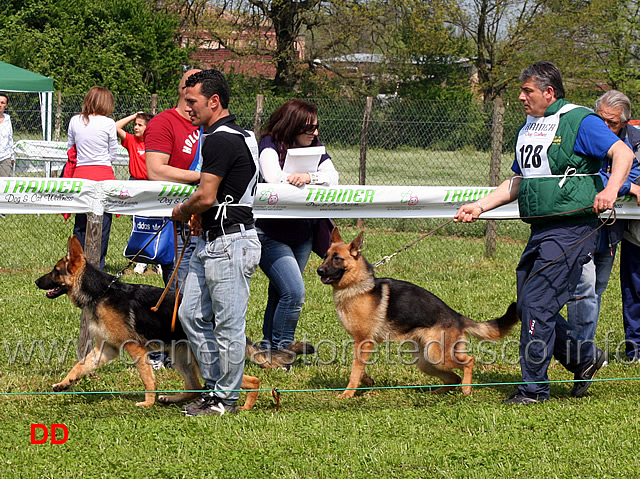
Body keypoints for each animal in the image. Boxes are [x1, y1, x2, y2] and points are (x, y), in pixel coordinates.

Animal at [33, 235, 264, 408]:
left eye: (55, 271)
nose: (35, 281)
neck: (100, 292)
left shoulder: (135, 349)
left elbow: (147, 379)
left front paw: (147, 403)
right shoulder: (105, 349)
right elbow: (79, 366)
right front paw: (64, 383)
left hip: (203, 359)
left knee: (250, 381)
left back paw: (245, 406)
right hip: (183, 359)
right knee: (194, 387)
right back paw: (171, 398)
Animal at [316, 229, 520, 398]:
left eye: (337, 259)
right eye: (325, 256)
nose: (319, 270)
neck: (357, 286)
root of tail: (457, 317)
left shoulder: (363, 341)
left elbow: (354, 371)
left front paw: (348, 394)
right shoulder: (360, 343)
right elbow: (359, 369)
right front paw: (366, 381)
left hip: (437, 356)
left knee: (470, 361)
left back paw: (466, 389)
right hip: (427, 361)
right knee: (453, 378)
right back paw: (436, 392)